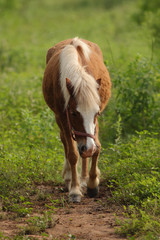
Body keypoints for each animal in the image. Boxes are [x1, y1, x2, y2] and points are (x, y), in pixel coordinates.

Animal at [42, 37, 111, 202]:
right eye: (73, 113)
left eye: (96, 113)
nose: (88, 148)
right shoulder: (63, 118)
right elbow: (72, 154)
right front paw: (74, 190)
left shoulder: (94, 123)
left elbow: (97, 148)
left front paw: (92, 183)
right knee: (66, 144)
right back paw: (69, 178)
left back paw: (84, 179)